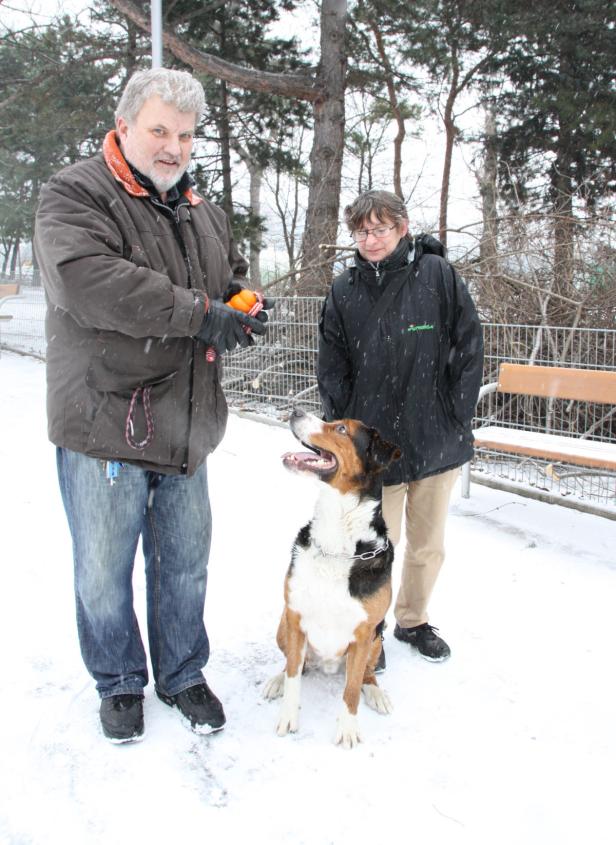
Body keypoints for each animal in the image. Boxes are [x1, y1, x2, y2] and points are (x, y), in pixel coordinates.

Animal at [264, 408, 400, 744]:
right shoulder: (296, 616)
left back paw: (375, 693)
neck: (337, 540)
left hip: (377, 639)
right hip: (283, 625)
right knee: (292, 665)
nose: (296, 410)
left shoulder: (363, 633)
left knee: (365, 675)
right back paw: (276, 680)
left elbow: (350, 690)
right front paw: (288, 716)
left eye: (341, 429)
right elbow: (293, 677)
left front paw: (348, 728)